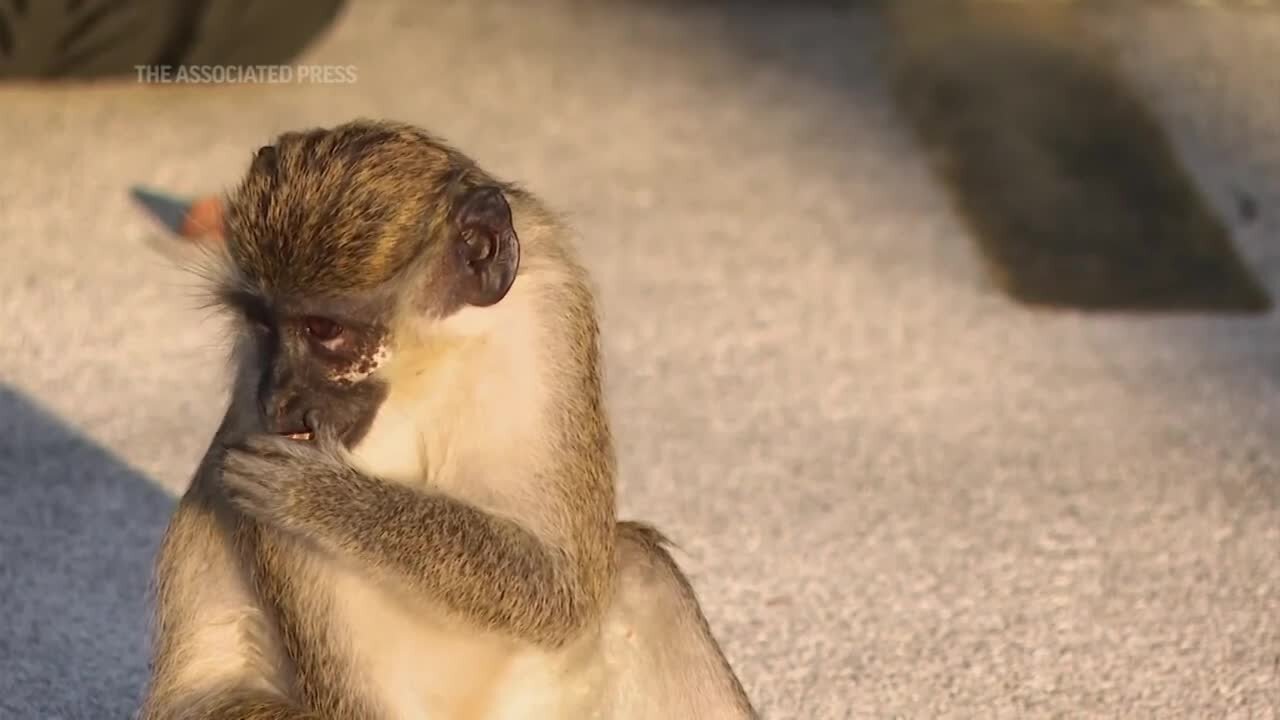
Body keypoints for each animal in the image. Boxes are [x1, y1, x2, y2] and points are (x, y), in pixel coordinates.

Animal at [140, 119, 757, 717]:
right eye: (264, 323)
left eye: (324, 331)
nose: (279, 399)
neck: (425, 363)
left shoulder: (549, 304)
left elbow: (564, 586)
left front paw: (320, 496)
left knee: (639, 571)